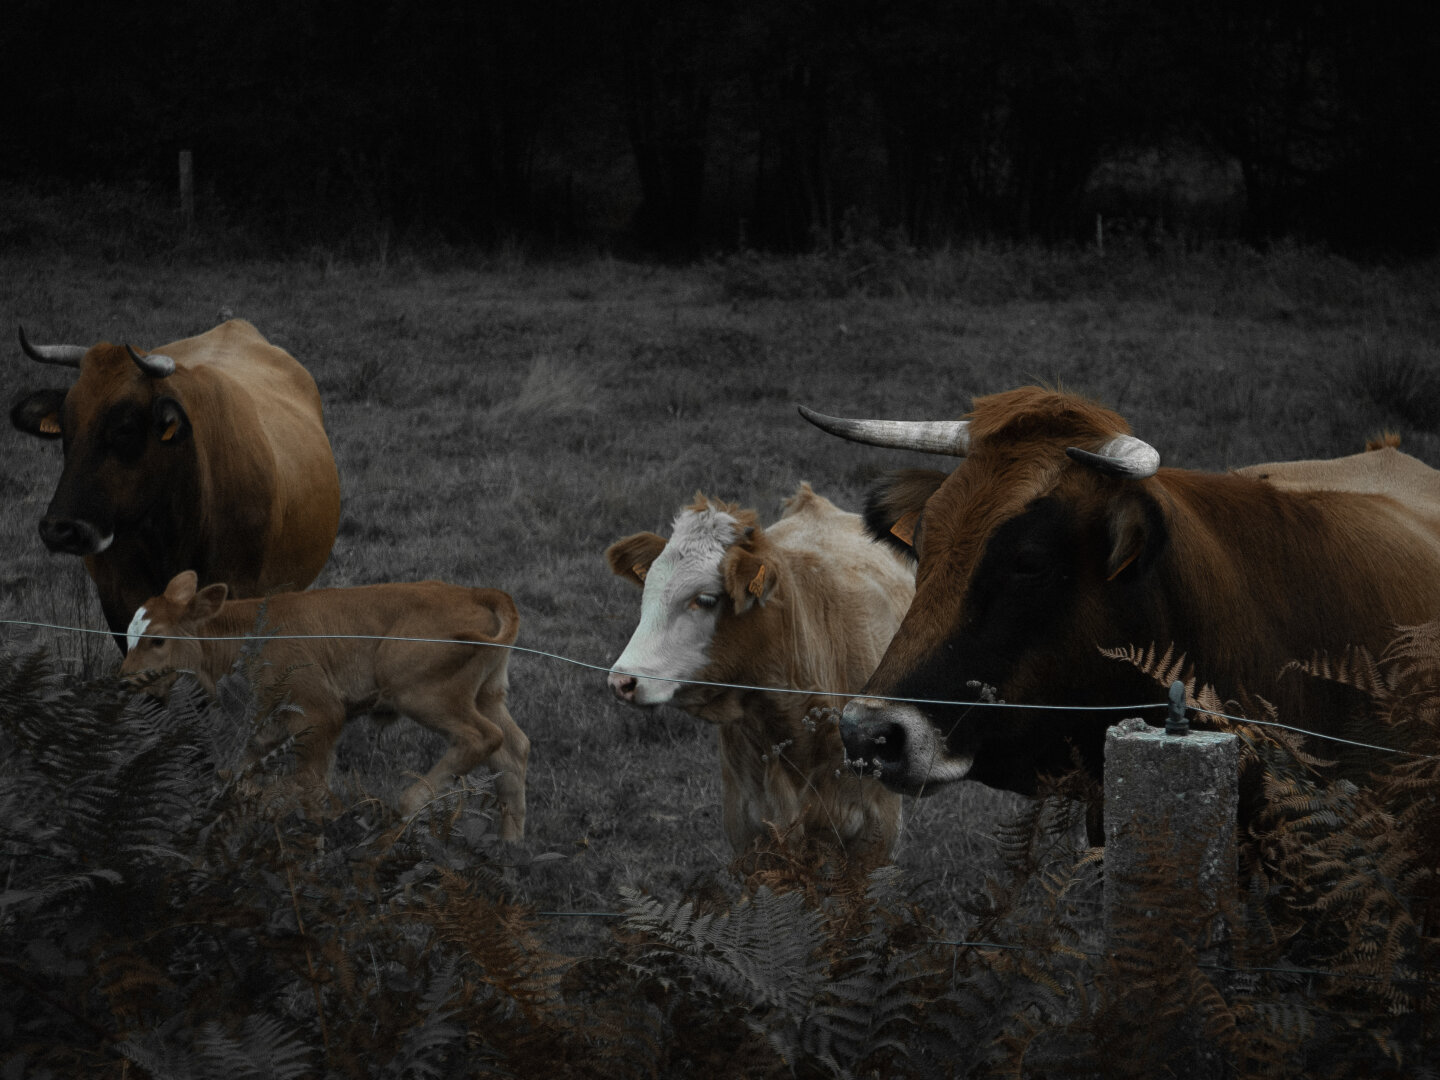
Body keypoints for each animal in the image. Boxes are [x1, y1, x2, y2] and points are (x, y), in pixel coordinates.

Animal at [120, 571, 528, 838]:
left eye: (157, 640)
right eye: (128, 634)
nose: (124, 679)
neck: (249, 634)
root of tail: (471, 593)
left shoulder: (320, 712)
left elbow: (310, 784)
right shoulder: (267, 723)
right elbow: (238, 774)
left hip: (422, 692)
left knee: (482, 737)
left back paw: (409, 806)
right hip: (488, 693)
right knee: (513, 749)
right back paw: (509, 849)